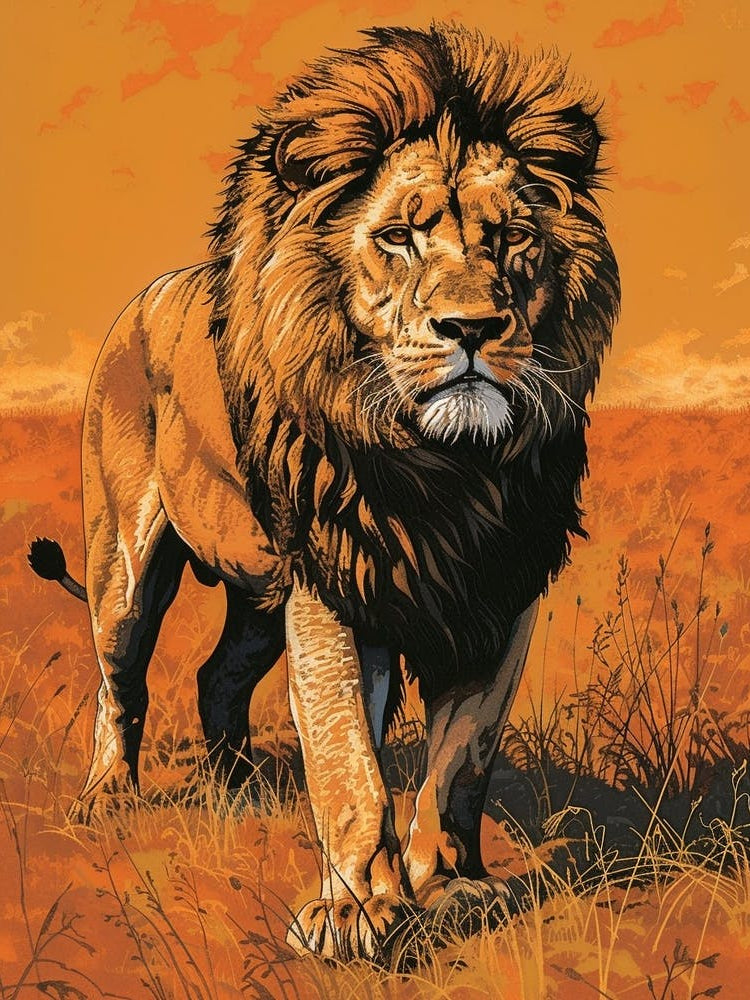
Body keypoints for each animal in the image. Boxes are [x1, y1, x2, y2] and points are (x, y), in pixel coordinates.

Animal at [28, 24, 619, 960]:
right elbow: (349, 759)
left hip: (258, 595)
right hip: (124, 568)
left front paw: (451, 889)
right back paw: (108, 799)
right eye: (400, 237)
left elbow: (461, 759)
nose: (473, 329)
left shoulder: (499, 589)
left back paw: (233, 791)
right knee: (120, 685)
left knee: (217, 677)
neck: (450, 469)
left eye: (513, 239)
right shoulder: (337, 583)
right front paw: (353, 912)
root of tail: (147, 295)